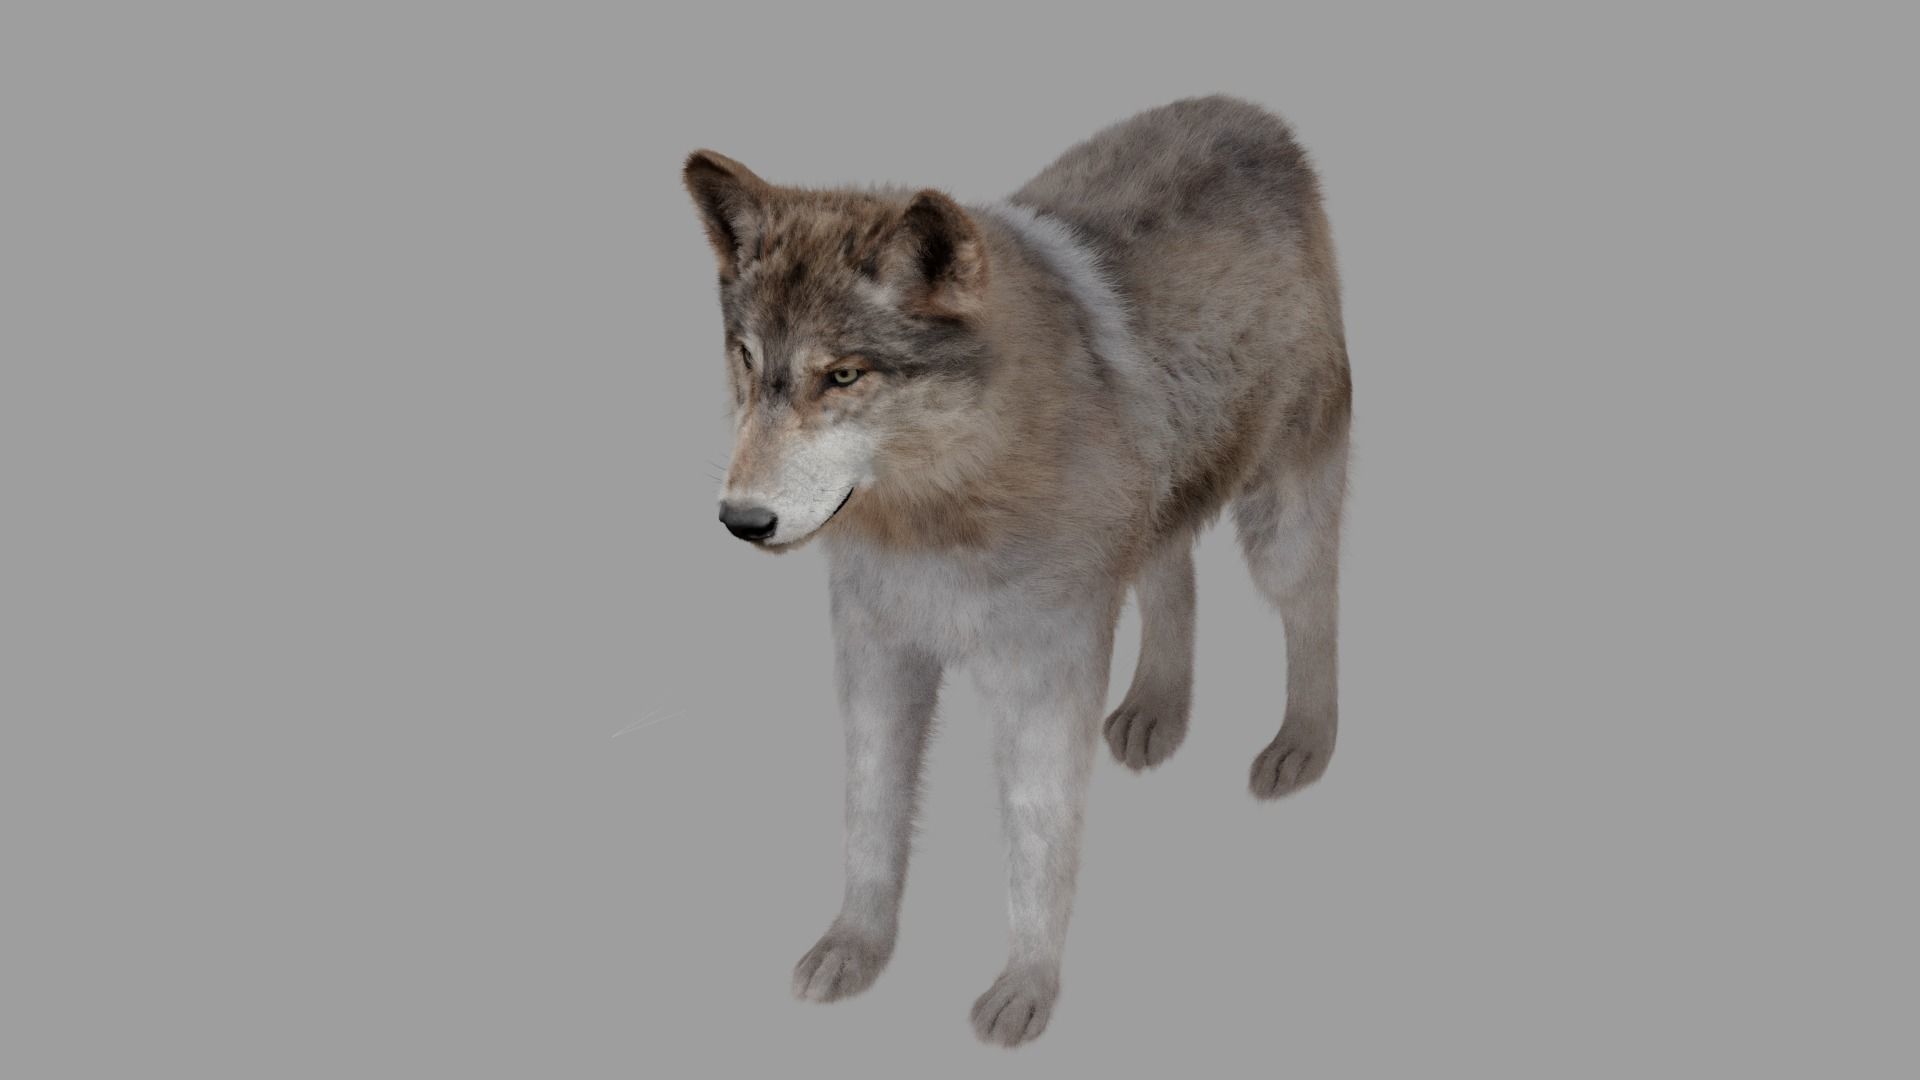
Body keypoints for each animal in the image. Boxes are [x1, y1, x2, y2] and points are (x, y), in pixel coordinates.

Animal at [682, 95, 1351, 1046]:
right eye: (745, 357)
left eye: (843, 375)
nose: (741, 521)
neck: (937, 513)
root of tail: (1255, 116)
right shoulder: (878, 657)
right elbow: (869, 818)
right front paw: (853, 949)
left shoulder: (1044, 676)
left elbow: (1039, 839)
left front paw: (1025, 989)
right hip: (1157, 511)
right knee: (1173, 575)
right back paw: (1156, 713)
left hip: (1280, 523)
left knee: (1315, 611)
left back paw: (1303, 746)